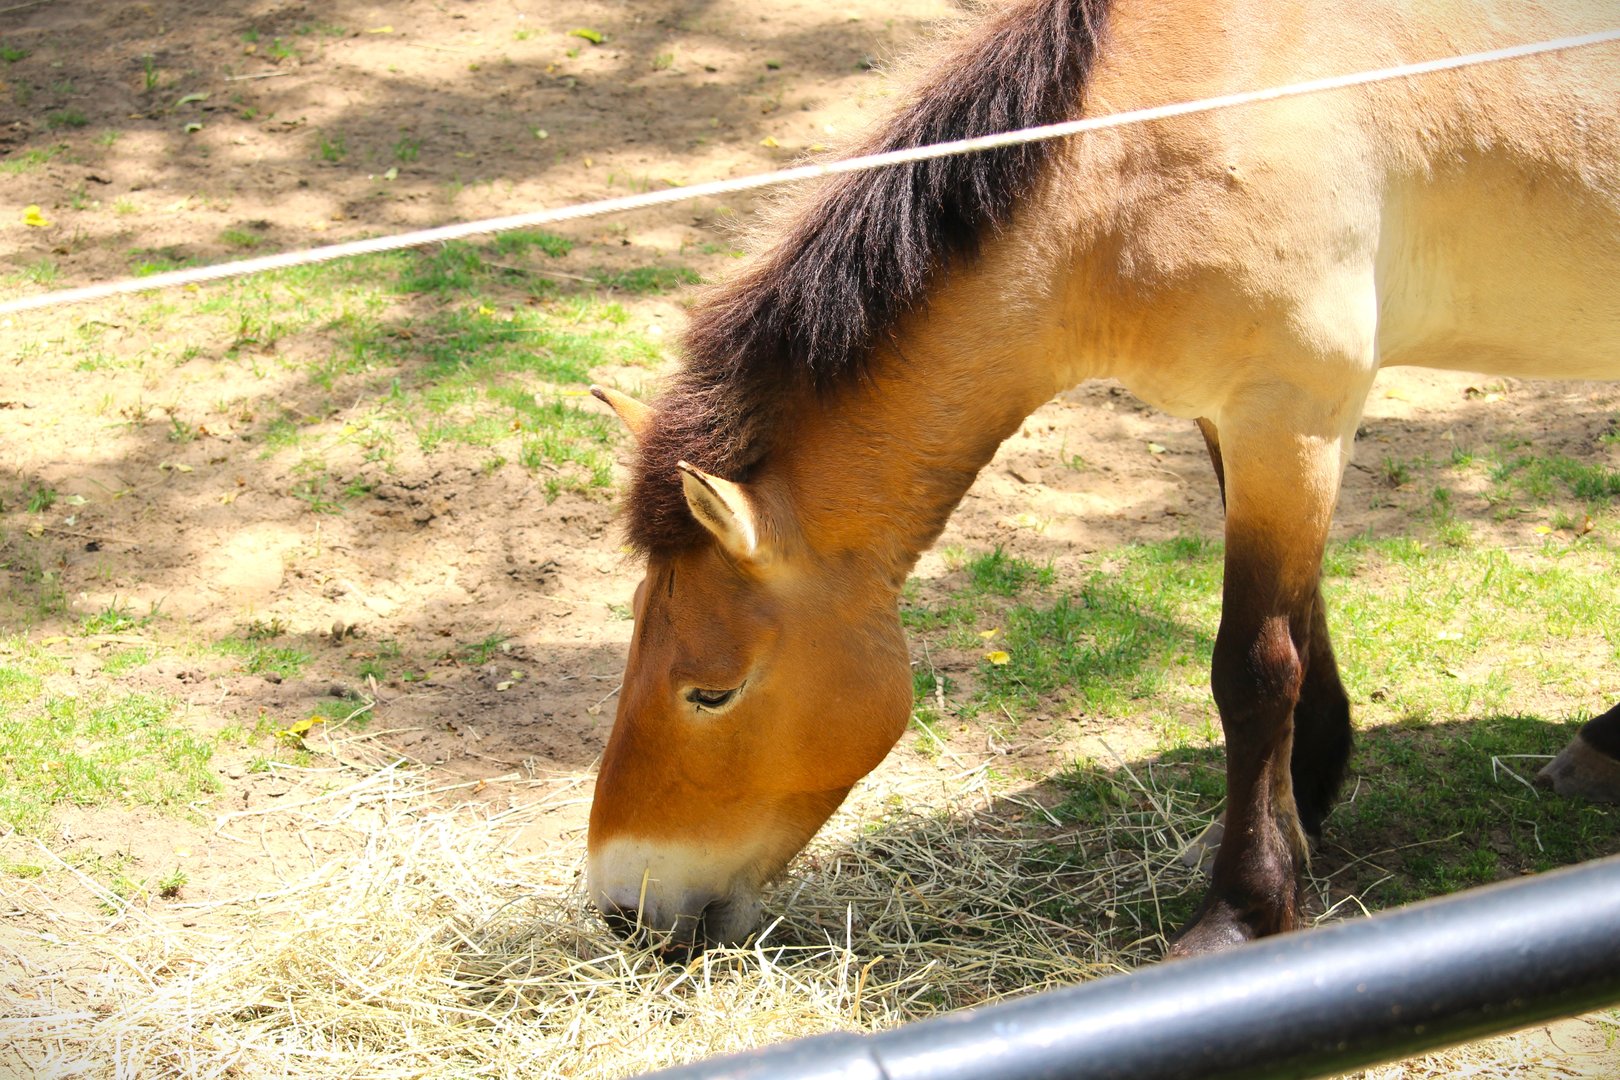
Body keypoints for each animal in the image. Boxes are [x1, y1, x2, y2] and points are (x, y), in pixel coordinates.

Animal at [583, 0, 1620, 956]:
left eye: (710, 691)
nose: (625, 908)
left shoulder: (1292, 415)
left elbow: (1255, 667)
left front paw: (1242, 911)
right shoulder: (1240, 423)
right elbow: (1303, 632)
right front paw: (1303, 816)